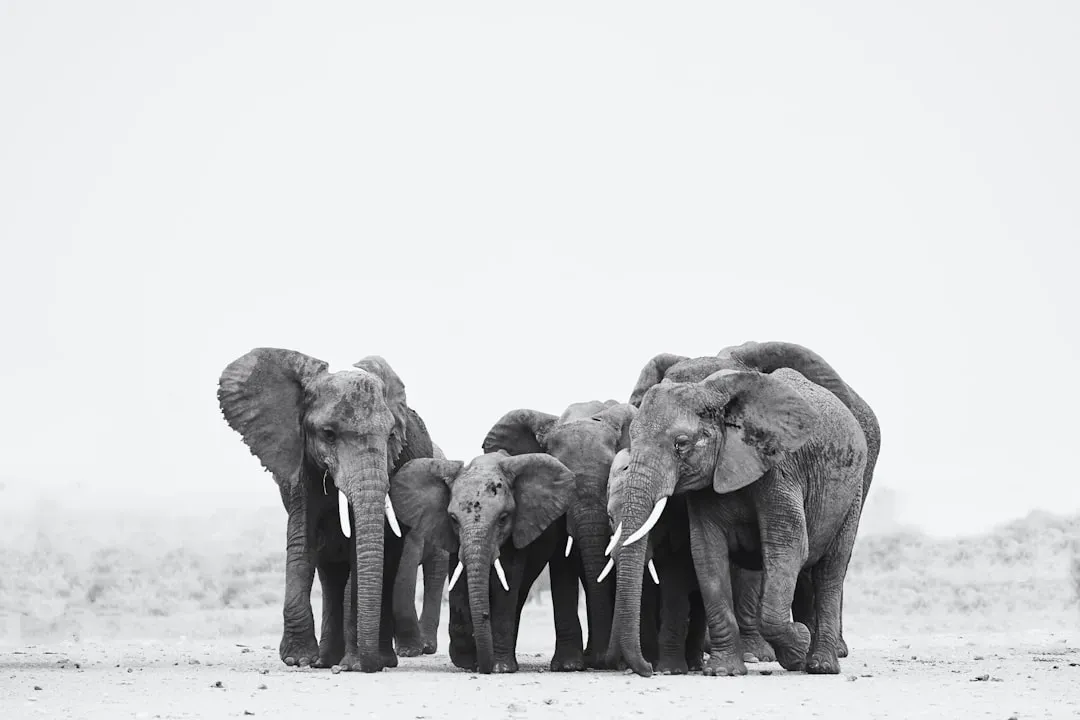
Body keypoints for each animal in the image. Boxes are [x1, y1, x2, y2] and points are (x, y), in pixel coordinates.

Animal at [218, 349, 434, 673]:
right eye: (329, 434)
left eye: (391, 436)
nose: (365, 665)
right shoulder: (299, 466)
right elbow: (302, 541)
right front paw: (298, 659)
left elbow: (361, 552)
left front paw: (356, 663)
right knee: (329, 570)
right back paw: (326, 660)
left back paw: (374, 658)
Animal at [388, 451, 581, 674]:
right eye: (453, 519)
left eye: (503, 518)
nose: (482, 667)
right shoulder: (452, 538)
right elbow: (460, 584)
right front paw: (466, 661)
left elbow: (506, 583)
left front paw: (500, 667)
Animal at [607, 363, 869, 678]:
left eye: (681, 444)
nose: (647, 669)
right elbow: (707, 552)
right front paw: (723, 671)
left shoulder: (780, 468)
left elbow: (788, 545)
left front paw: (798, 646)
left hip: (852, 493)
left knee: (831, 571)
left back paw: (821, 665)